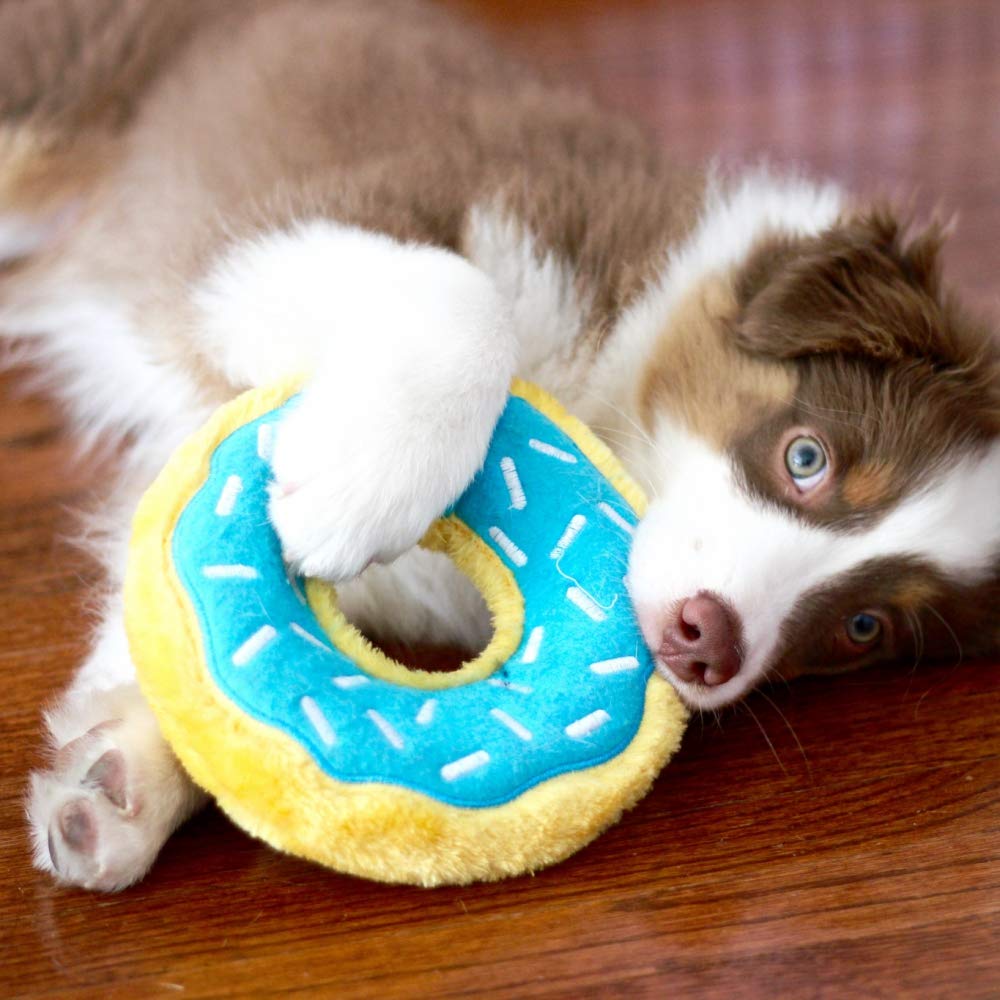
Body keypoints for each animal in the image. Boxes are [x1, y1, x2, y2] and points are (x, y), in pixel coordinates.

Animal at [1, 0, 1000, 892]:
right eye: (807, 458)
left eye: (865, 629)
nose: (707, 643)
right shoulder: (284, 223)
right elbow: (462, 288)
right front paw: (353, 491)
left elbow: (175, 642)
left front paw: (115, 789)